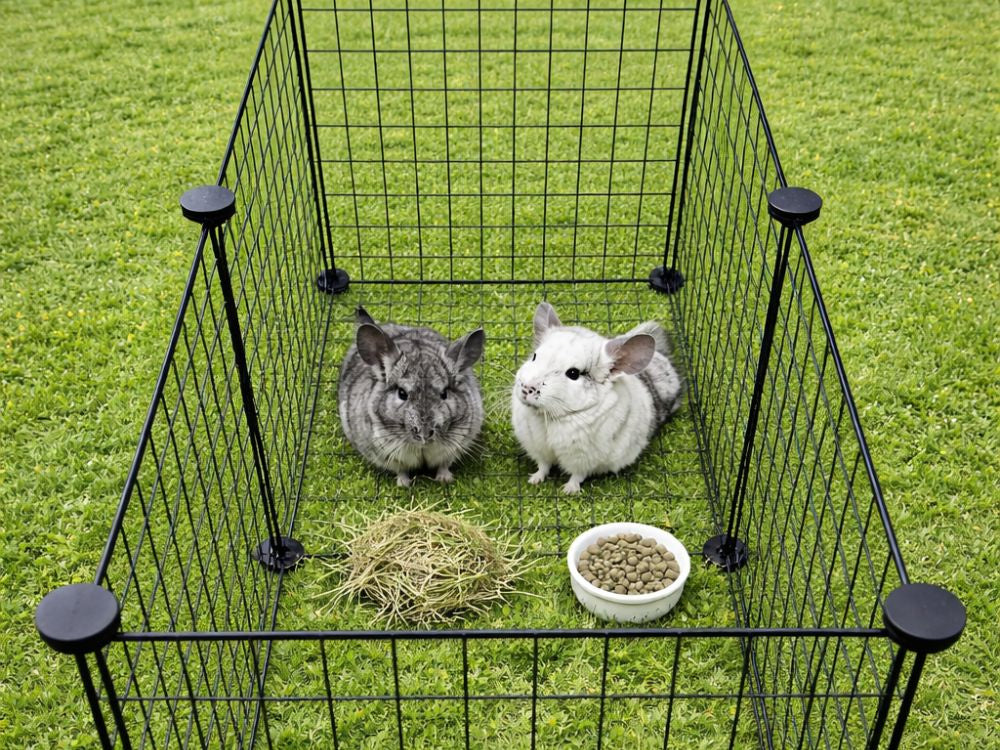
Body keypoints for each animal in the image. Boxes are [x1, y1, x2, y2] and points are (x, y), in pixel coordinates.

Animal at [338, 306, 485, 487]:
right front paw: (404, 484)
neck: (422, 447)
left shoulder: (456, 445)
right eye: (402, 393)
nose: (424, 435)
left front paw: (445, 479)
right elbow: (401, 469)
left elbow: (444, 464)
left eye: (444, 393)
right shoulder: (386, 453)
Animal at [511, 301, 682, 494]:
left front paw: (568, 490)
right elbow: (543, 466)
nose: (527, 388)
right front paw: (534, 480)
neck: (549, 417)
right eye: (534, 356)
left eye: (573, 373)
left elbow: (577, 475)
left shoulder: (582, 459)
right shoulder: (539, 449)